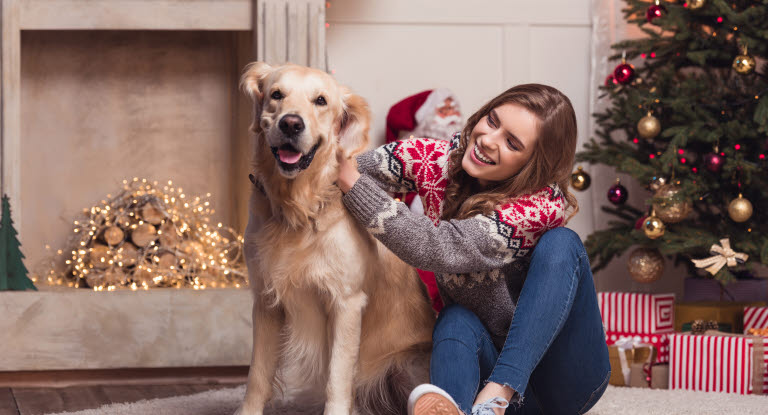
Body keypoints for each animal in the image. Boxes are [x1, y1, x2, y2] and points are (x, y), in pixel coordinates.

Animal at [237, 62, 436, 415]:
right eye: (276, 94)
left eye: (320, 100)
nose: (291, 123)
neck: (299, 207)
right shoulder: (266, 299)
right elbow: (257, 375)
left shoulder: (346, 302)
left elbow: (337, 378)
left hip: (408, 365)